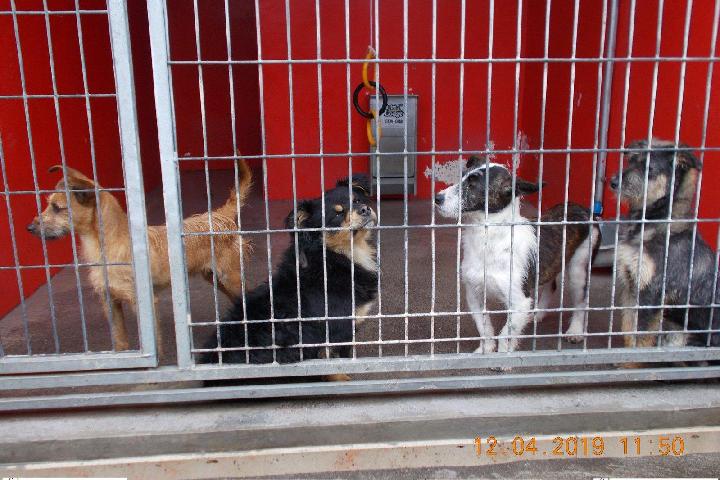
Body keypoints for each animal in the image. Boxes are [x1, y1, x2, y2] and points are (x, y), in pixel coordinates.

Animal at [27, 161, 252, 353]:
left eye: (57, 208)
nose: (29, 228)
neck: (106, 245)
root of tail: (221, 215)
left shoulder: (143, 302)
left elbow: (155, 345)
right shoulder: (110, 301)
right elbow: (120, 340)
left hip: (229, 277)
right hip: (214, 277)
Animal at [201, 175, 378, 378]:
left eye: (357, 200)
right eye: (337, 215)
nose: (365, 209)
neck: (337, 256)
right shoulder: (335, 329)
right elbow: (334, 363)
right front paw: (342, 379)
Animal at [435, 156, 601, 356]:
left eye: (473, 185)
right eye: (462, 177)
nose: (437, 198)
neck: (487, 237)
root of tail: (584, 209)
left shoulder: (520, 301)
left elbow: (505, 334)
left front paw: (502, 357)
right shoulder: (473, 293)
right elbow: (484, 326)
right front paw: (486, 349)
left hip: (579, 267)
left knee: (581, 300)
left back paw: (575, 330)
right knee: (550, 286)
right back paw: (536, 314)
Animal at [610, 139, 720, 352]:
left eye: (649, 167)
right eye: (631, 161)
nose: (613, 182)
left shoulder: (652, 291)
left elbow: (641, 337)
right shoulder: (631, 285)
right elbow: (629, 329)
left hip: (680, 335)